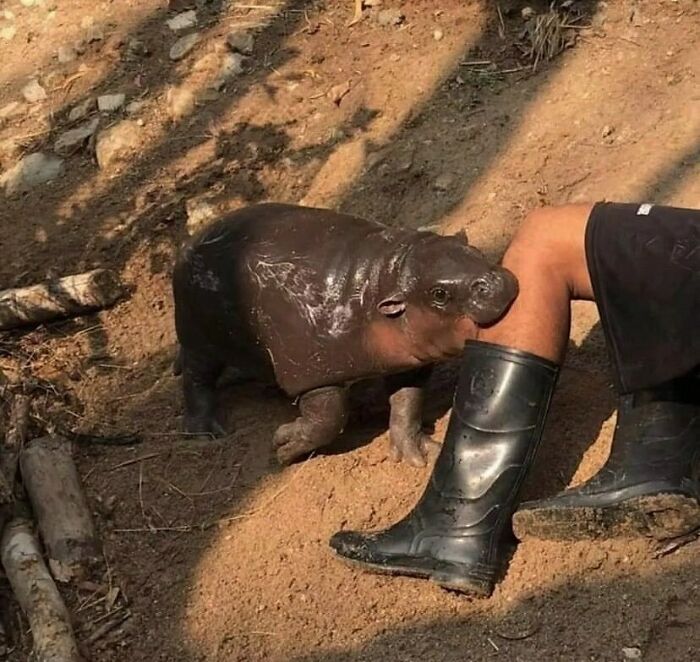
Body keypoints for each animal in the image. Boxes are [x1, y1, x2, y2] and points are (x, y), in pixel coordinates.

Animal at [172, 203, 518, 465]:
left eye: (474, 249)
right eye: (439, 294)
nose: (496, 282)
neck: (383, 280)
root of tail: (189, 242)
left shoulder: (407, 361)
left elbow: (407, 401)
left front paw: (420, 453)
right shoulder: (312, 372)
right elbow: (329, 419)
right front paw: (283, 446)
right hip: (199, 337)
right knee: (195, 377)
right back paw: (206, 433)